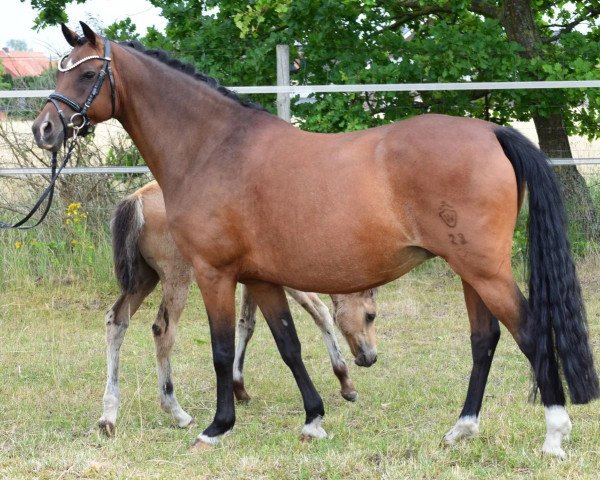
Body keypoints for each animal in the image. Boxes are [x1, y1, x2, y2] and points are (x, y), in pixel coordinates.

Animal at [34, 23, 600, 458]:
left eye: (87, 73)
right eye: (60, 70)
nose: (44, 129)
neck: (213, 147)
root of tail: (490, 133)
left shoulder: (215, 274)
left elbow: (221, 349)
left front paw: (216, 428)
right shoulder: (261, 278)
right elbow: (288, 345)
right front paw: (313, 419)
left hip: (483, 268)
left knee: (530, 331)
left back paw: (554, 435)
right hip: (469, 270)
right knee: (485, 340)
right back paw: (461, 430)